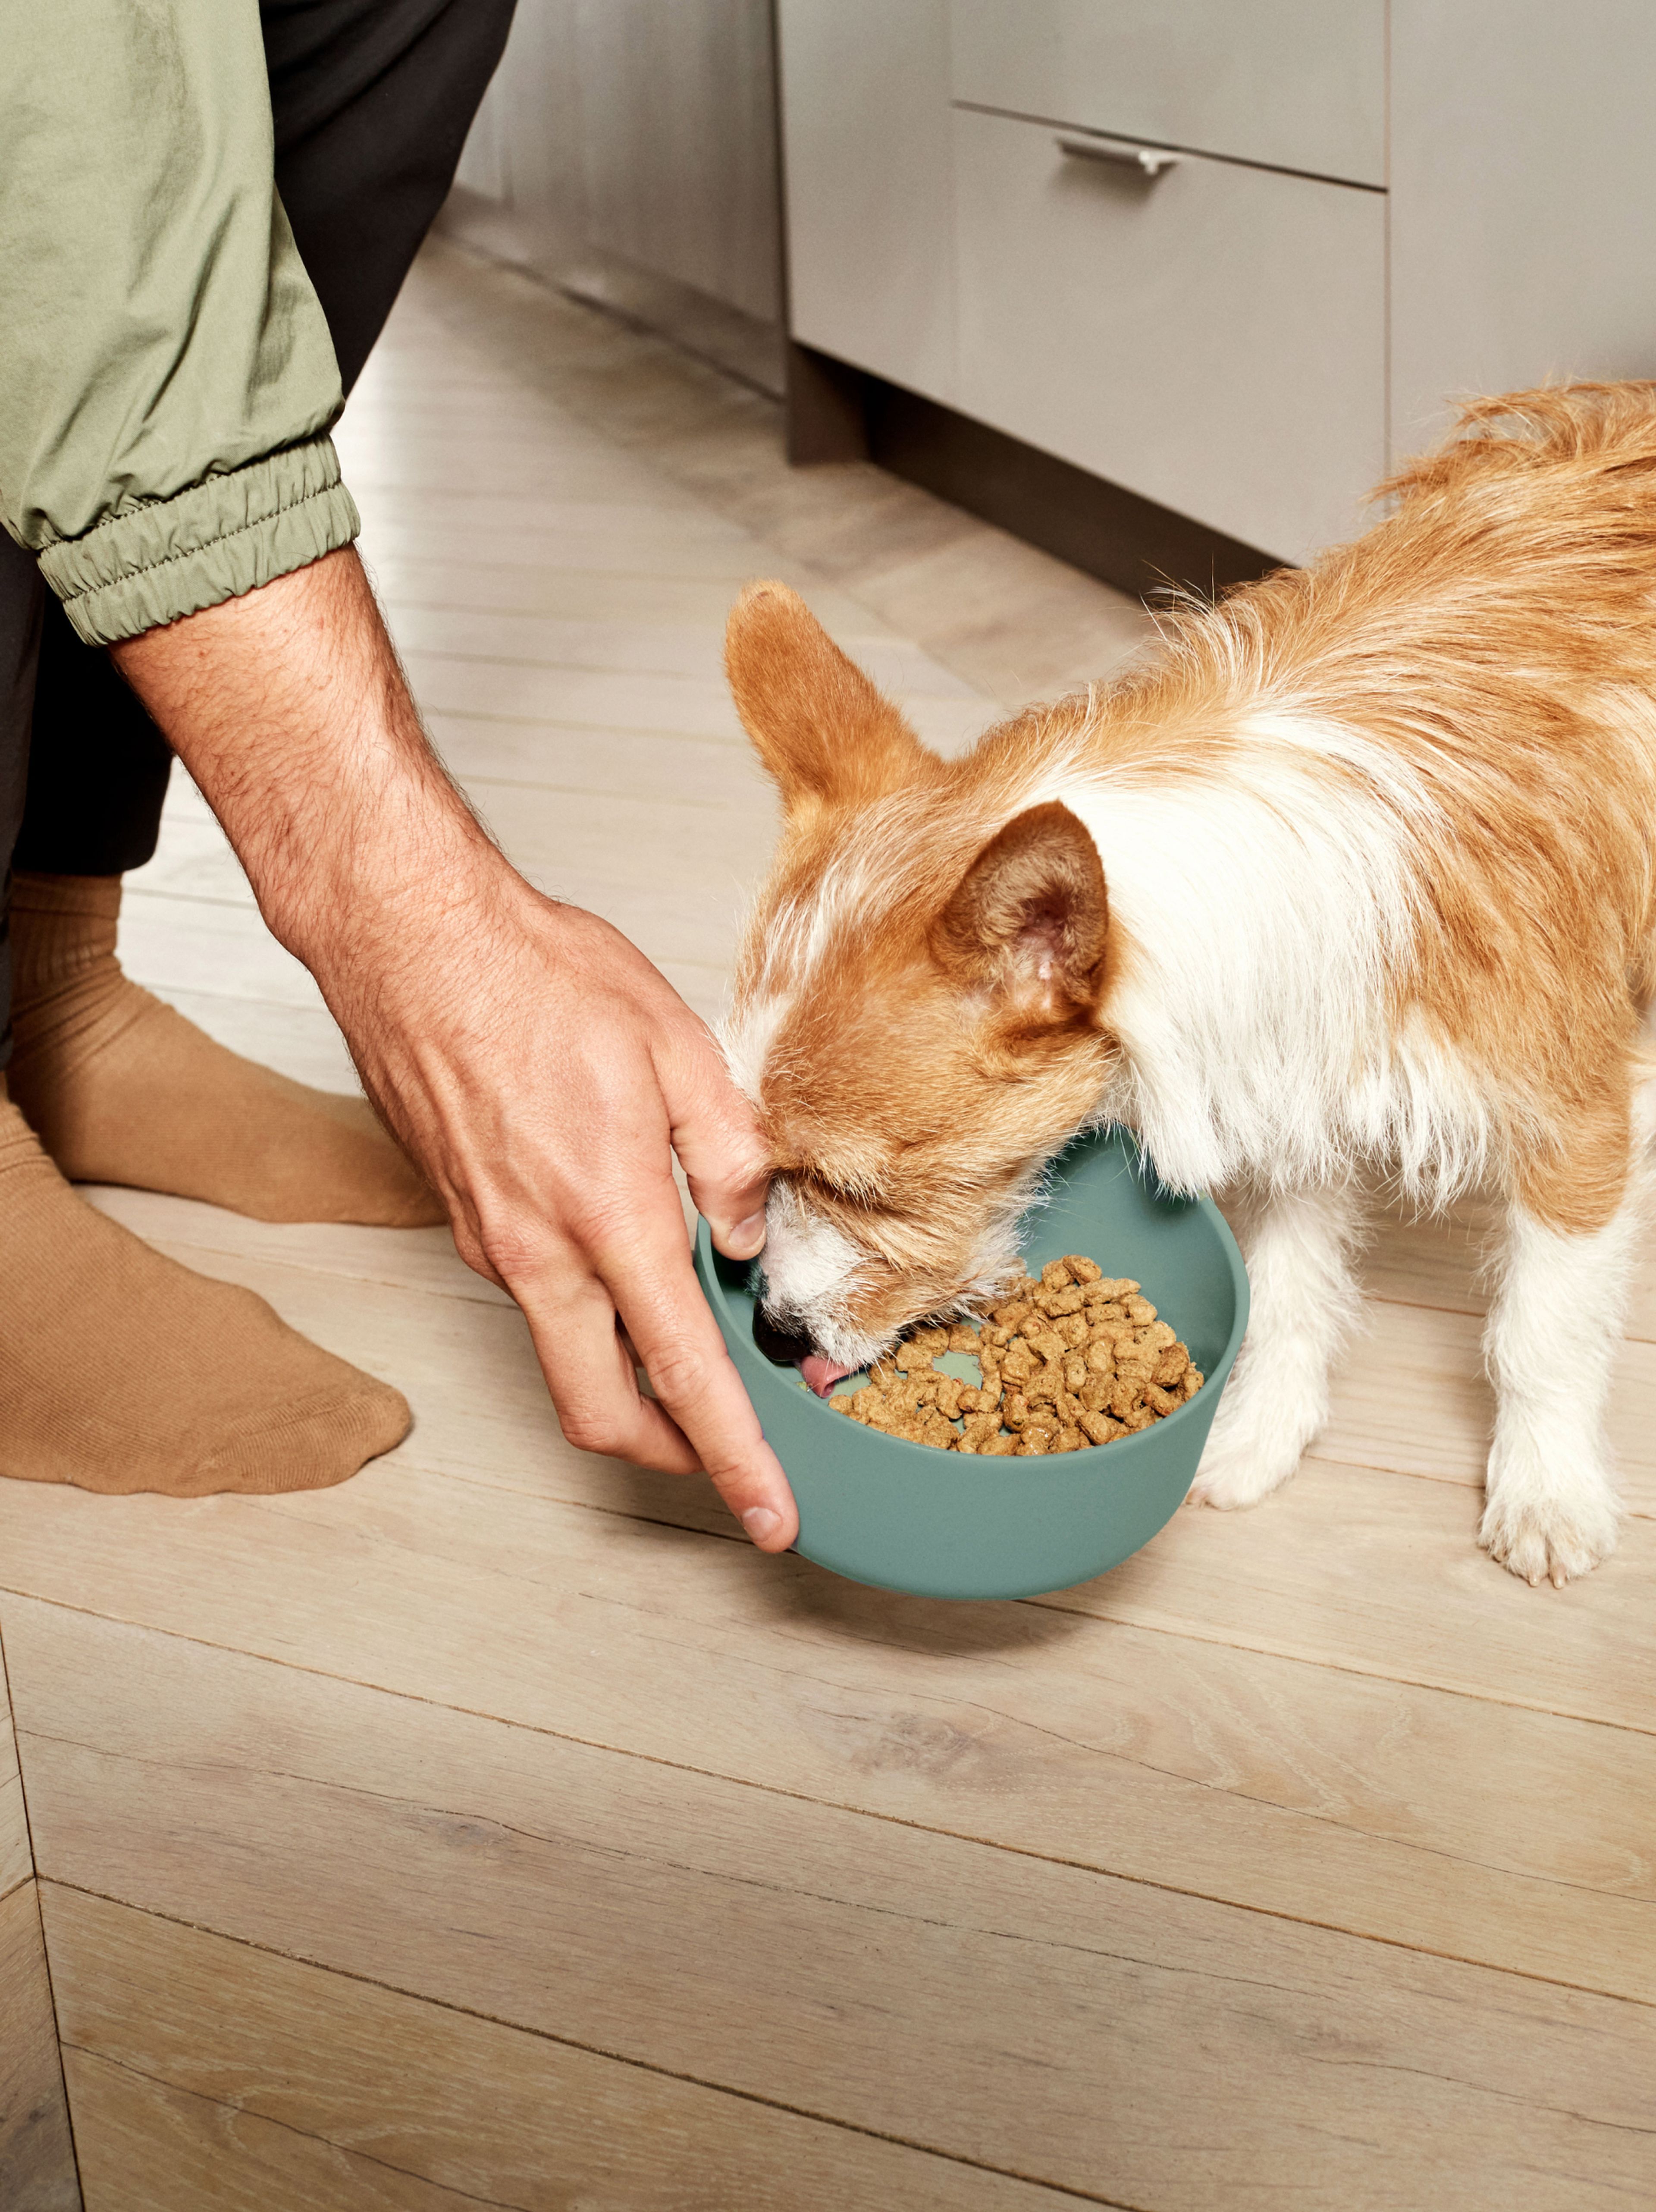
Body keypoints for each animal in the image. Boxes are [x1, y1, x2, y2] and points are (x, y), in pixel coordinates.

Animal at [725, 385, 1656, 1593]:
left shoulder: (1576, 1129)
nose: (774, 1336)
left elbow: (1540, 1328)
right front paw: (1255, 1437)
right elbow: (1290, 1292)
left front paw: (1546, 1493)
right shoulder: (1303, 1082)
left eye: (869, 1190)